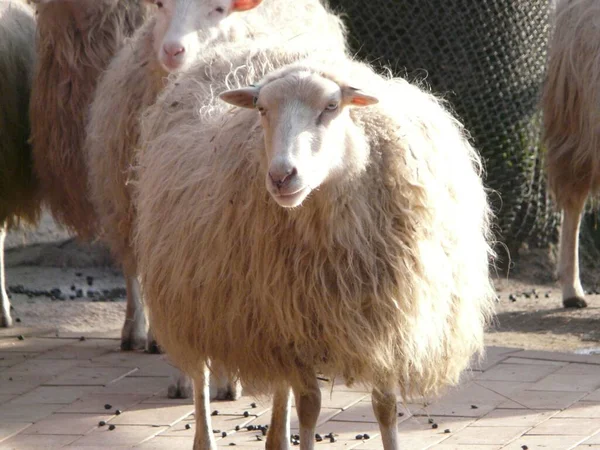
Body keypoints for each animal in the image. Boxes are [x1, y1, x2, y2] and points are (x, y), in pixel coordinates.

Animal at [134, 55, 494, 450]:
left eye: (331, 106)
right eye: (262, 109)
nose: (281, 176)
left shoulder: (383, 324)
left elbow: (385, 408)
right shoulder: (294, 333)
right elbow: (309, 405)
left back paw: (276, 437)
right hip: (189, 297)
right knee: (200, 376)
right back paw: (206, 437)